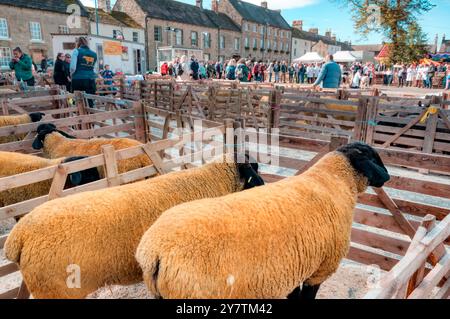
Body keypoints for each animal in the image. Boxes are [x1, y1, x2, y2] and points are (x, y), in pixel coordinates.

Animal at [134, 142, 390, 300]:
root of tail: (154, 252)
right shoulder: (320, 269)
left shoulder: (299, 265)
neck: (333, 181)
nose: (388, 176)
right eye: (373, 157)